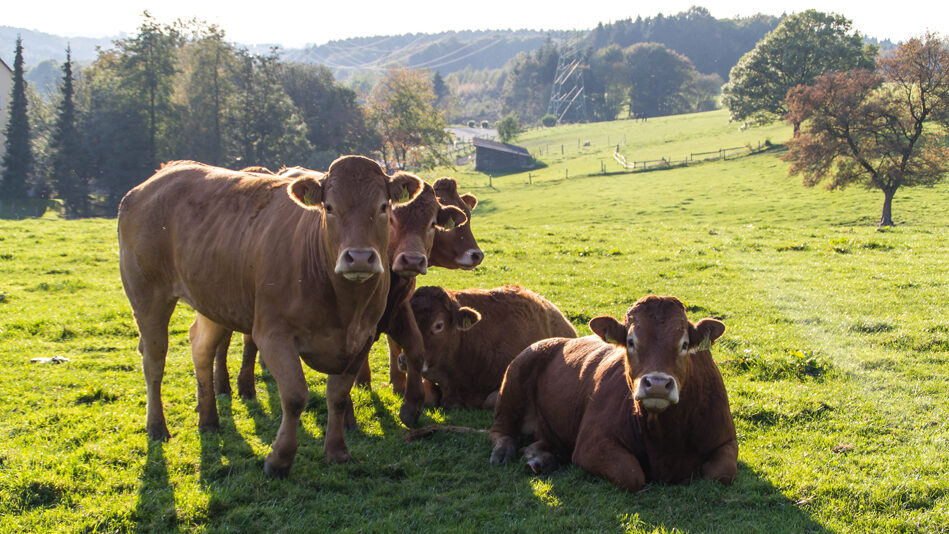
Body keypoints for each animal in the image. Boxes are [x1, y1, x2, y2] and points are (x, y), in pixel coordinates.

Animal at [118, 155, 422, 478]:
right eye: (329, 207)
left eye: (383, 206)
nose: (360, 258)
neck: (344, 306)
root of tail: (162, 175)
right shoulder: (273, 335)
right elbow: (295, 396)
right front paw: (280, 459)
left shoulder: (362, 336)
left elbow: (338, 396)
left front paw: (337, 451)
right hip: (148, 296)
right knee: (154, 362)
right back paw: (157, 426)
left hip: (213, 298)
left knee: (201, 347)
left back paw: (209, 418)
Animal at [486, 298, 736, 494]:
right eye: (631, 342)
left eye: (684, 344)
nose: (656, 385)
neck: (664, 437)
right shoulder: (591, 444)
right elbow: (631, 474)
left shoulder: (728, 440)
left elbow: (721, 473)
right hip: (516, 377)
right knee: (500, 431)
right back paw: (504, 453)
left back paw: (539, 458)